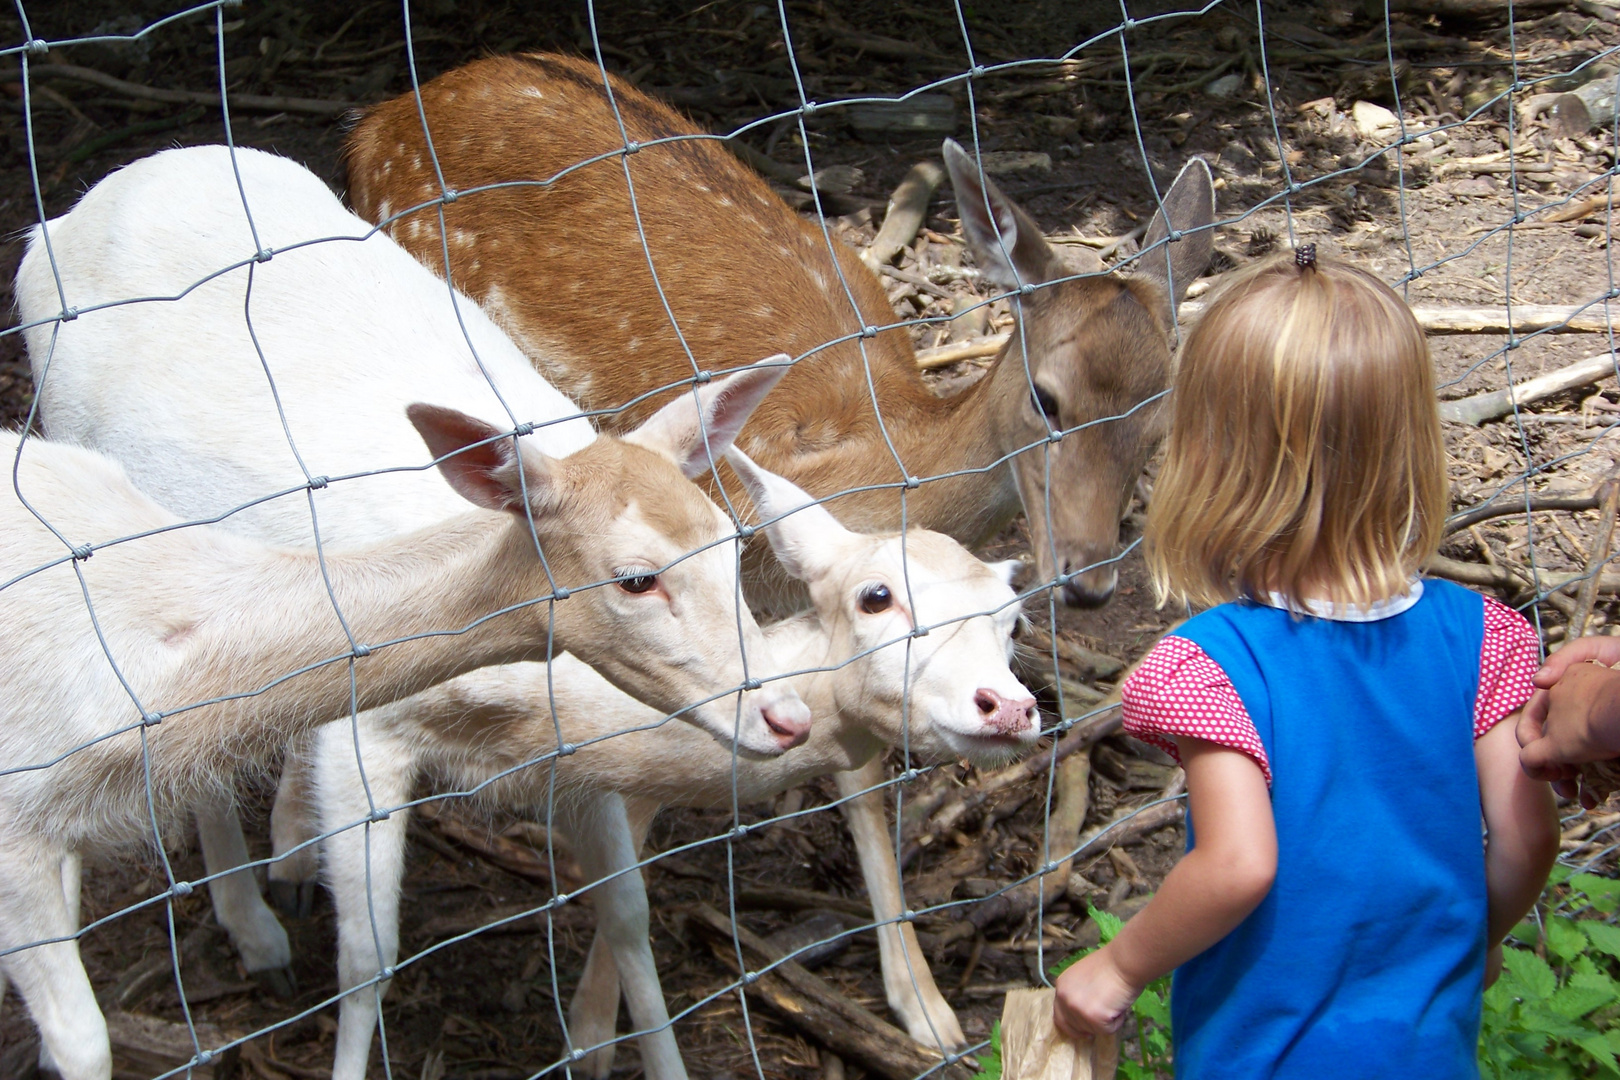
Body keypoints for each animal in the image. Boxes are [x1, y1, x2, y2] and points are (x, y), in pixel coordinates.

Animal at [267, 450, 1036, 1080]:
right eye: (875, 595)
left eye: (1014, 620)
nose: (1009, 707)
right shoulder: (363, 728)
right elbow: (366, 962)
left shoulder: (585, 779)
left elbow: (629, 919)